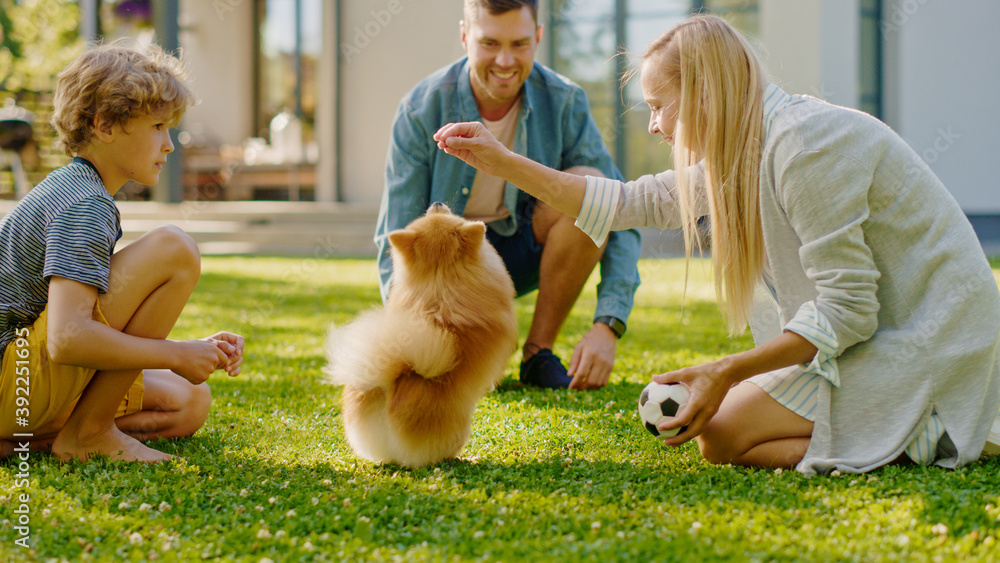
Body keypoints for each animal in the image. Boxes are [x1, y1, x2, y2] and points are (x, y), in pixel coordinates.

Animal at [326, 203, 520, 468]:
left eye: (439, 213)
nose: (437, 203)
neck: (439, 280)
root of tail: (390, 386)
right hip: (459, 428)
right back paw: (466, 457)